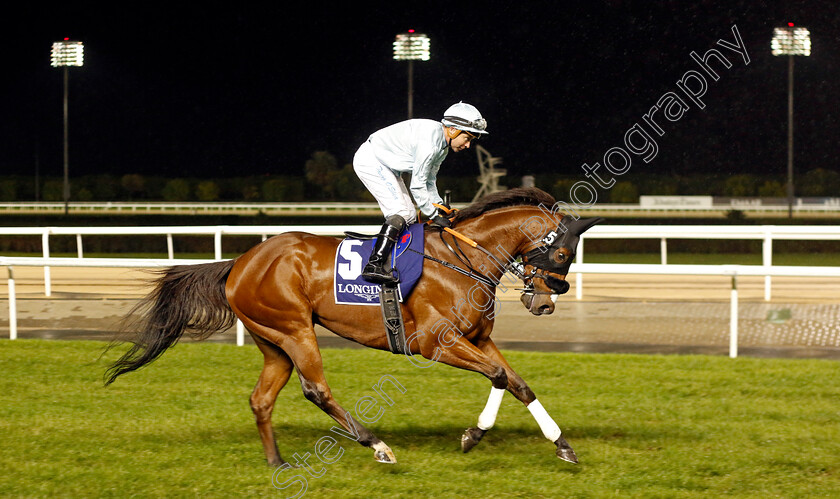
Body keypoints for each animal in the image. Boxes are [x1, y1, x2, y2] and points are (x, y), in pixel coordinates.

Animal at [105, 188, 604, 468]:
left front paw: (562, 446)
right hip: (294, 330)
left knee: (261, 399)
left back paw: (276, 461)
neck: (464, 260)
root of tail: (239, 263)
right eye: (562, 253)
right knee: (316, 390)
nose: (544, 303)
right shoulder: (436, 344)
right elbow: (500, 376)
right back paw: (376, 444)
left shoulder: (479, 338)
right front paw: (473, 435)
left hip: (273, 340)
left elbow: (518, 382)